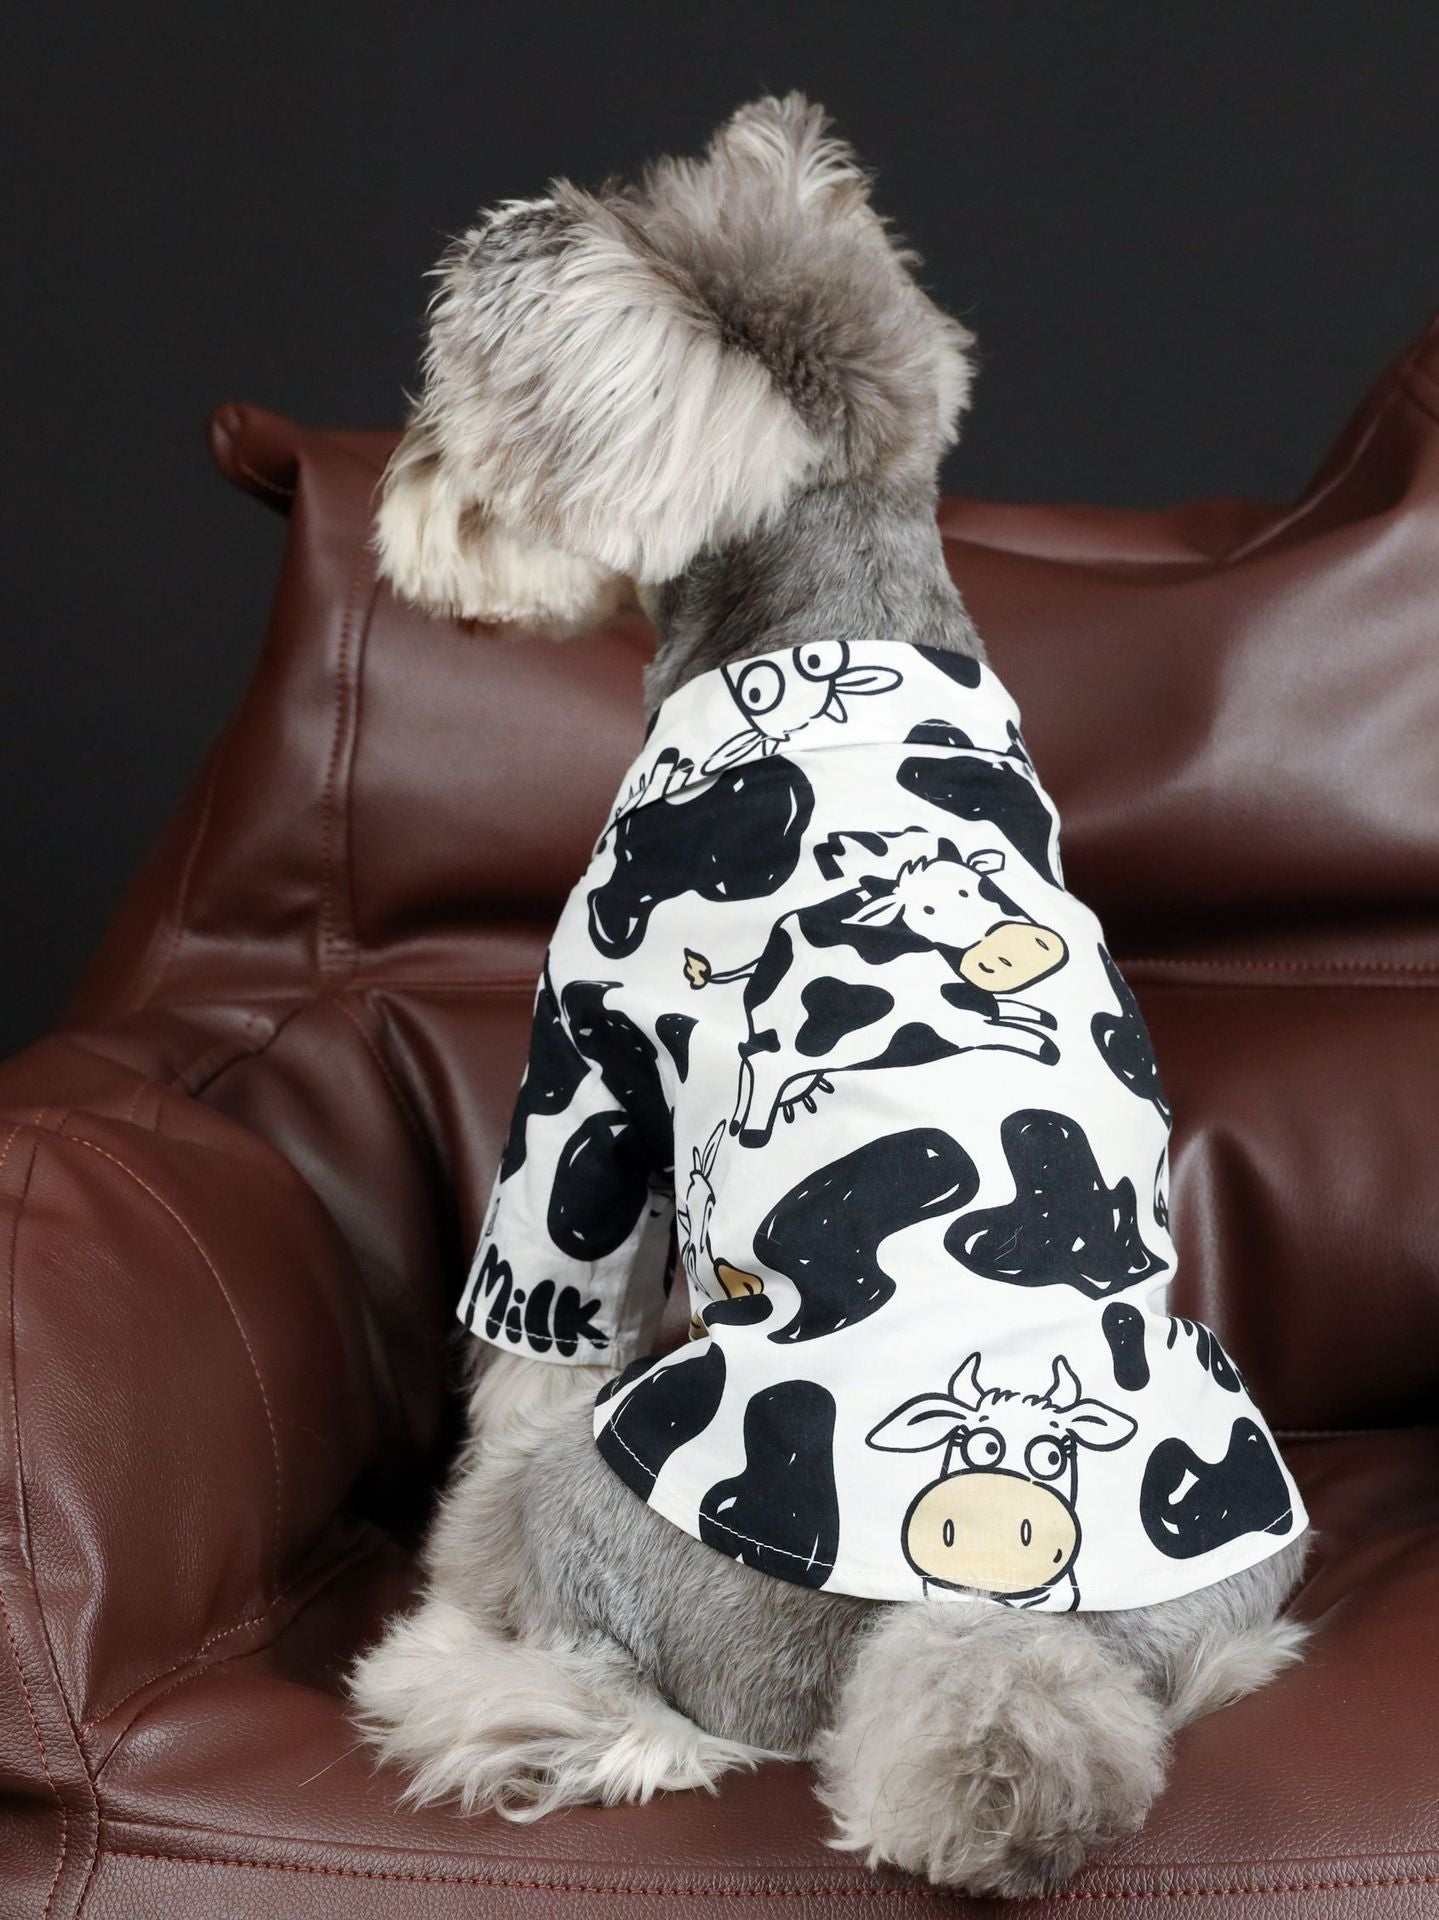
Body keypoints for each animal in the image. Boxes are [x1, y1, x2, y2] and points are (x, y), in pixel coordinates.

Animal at [684, 838, 1068, 1147]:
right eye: (926, 910)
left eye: (981, 884)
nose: (1011, 947)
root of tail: (766, 952)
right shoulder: (960, 1028)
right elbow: (1029, 1040)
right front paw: (1046, 1046)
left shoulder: (977, 1006)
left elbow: (1013, 1011)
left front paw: (1044, 1017)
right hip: (780, 1038)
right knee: (758, 1062)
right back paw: (752, 1133)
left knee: (748, 1060)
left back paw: (738, 1123)